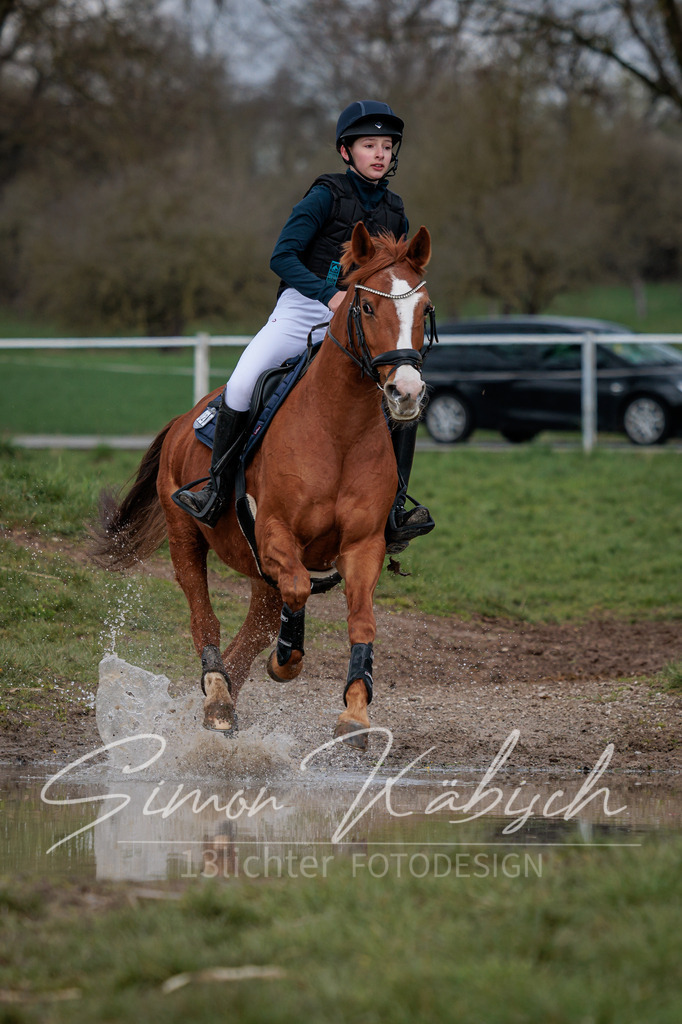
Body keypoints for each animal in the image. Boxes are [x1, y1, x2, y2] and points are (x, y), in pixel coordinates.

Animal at [94, 222, 433, 751]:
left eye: (423, 309)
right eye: (366, 307)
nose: (406, 392)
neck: (338, 428)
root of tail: (183, 420)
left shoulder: (363, 546)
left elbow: (361, 621)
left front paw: (355, 715)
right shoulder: (275, 532)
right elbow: (297, 590)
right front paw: (285, 661)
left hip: (257, 573)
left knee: (252, 631)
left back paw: (224, 697)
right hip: (185, 537)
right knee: (205, 617)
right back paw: (217, 699)